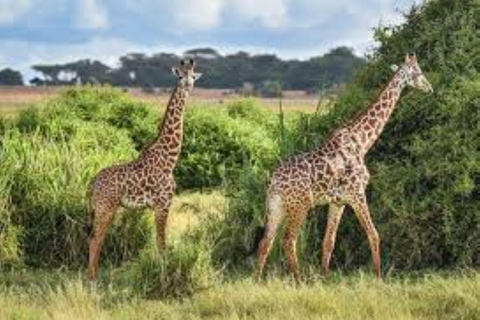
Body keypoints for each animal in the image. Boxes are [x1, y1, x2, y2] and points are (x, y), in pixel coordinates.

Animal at [87, 58, 202, 280]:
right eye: (180, 76)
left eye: (193, 76)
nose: (188, 85)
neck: (169, 159)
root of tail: (93, 182)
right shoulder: (163, 205)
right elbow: (161, 243)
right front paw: (163, 273)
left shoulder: (159, 206)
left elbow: (159, 242)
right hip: (106, 208)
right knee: (95, 239)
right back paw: (91, 279)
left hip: (100, 208)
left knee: (94, 238)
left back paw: (93, 276)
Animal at [255, 53, 436, 282]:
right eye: (418, 72)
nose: (430, 87)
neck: (362, 142)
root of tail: (273, 181)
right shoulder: (357, 193)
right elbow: (374, 234)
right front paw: (378, 276)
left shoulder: (338, 201)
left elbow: (328, 242)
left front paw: (325, 278)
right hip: (299, 205)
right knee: (288, 240)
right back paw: (300, 280)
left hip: (276, 206)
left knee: (265, 242)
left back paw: (257, 280)